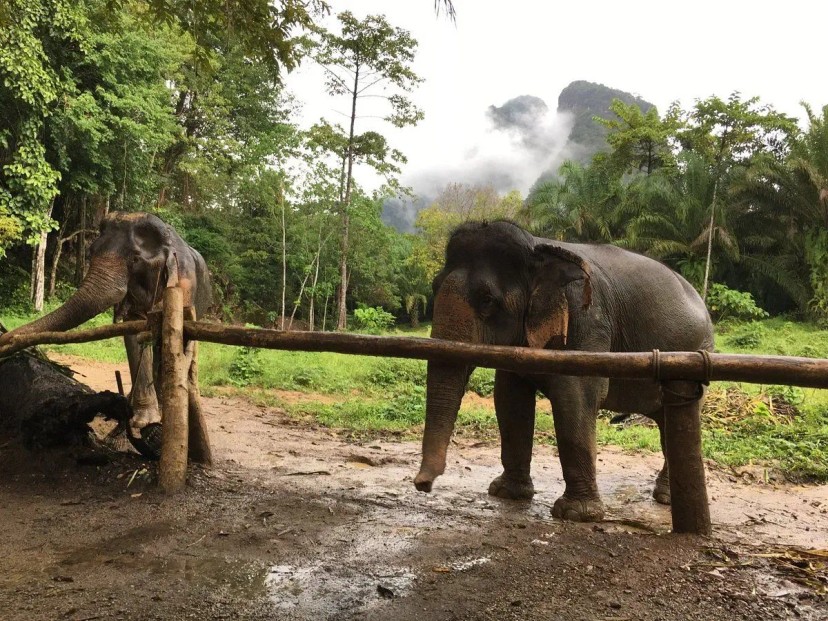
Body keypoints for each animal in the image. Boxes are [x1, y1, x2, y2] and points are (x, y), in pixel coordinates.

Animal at [0, 212, 212, 440]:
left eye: (135, 259)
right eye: (91, 252)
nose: (6, 339)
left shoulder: (184, 285)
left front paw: (153, 420)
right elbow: (135, 332)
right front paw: (142, 420)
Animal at [414, 220, 712, 520]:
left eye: (487, 299)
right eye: (434, 286)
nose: (422, 485)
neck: (536, 247)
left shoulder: (585, 319)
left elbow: (576, 396)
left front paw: (576, 514)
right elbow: (510, 400)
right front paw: (506, 493)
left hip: (697, 352)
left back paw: (665, 498)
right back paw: (665, 496)